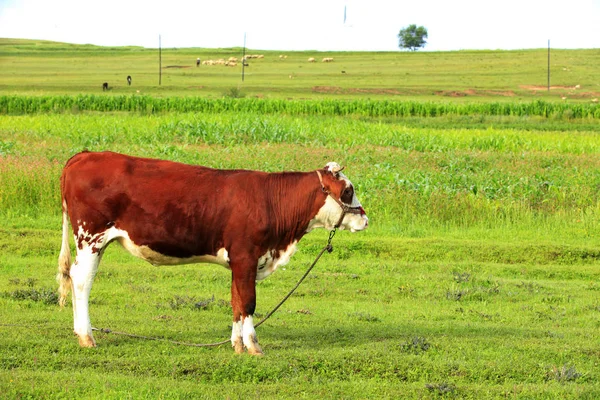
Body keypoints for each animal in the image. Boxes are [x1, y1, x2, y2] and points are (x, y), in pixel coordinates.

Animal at [57, 152, 366, 354]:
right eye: (348, 191)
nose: (365, 219)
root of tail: (84, 155)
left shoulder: (238, 261)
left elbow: (236, 302)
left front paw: (237, 344)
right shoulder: (246, 256)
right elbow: (248, 302)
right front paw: (254, 345)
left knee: (73, 277)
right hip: (91, 237)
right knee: (82, 281)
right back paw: (87, 337)